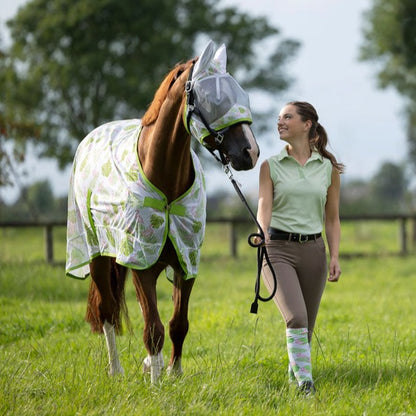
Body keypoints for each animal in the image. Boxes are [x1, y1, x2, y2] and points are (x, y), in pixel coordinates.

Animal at [65, 40, 258, 382]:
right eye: (215, 99)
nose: (251, 152)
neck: (165, 182)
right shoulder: (141, 263)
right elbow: (152, 328)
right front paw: (156, 382)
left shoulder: (186, 262)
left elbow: (178, 324)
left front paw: (173, 372)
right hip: (98, 255)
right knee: (107, 311)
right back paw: (116, 370)